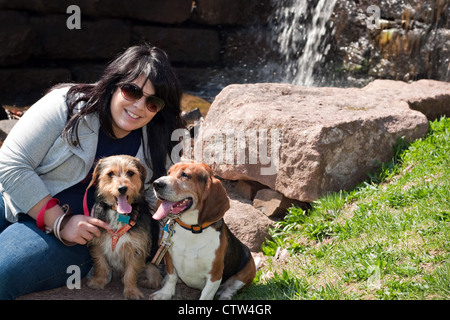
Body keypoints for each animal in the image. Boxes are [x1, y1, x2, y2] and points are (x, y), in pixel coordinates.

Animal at [86, 155, 162, 300]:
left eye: (131, 173)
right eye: (110, 174)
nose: (122, 188)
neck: (118, 214)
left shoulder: (136, 249)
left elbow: (131, 273)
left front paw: (131, 291)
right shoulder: (98, 243)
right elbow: (101, 265)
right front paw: (98, 281)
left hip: (152, 262)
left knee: (154, 276)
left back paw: (146, 281)